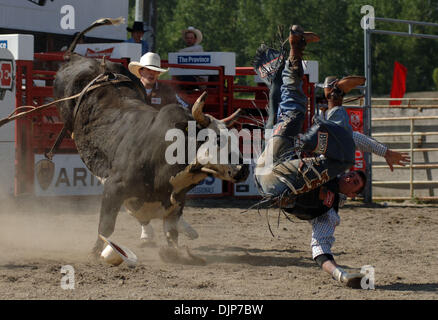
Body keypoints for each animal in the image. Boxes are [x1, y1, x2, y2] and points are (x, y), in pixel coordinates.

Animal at [53, 17, 248, 258]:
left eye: (235, 140)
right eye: (218, 140)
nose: (242, 169)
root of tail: (78, 57)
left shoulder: (175, 202)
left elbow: (171, 233)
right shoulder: (114, 187)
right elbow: (106, 226)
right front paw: (96, 251)